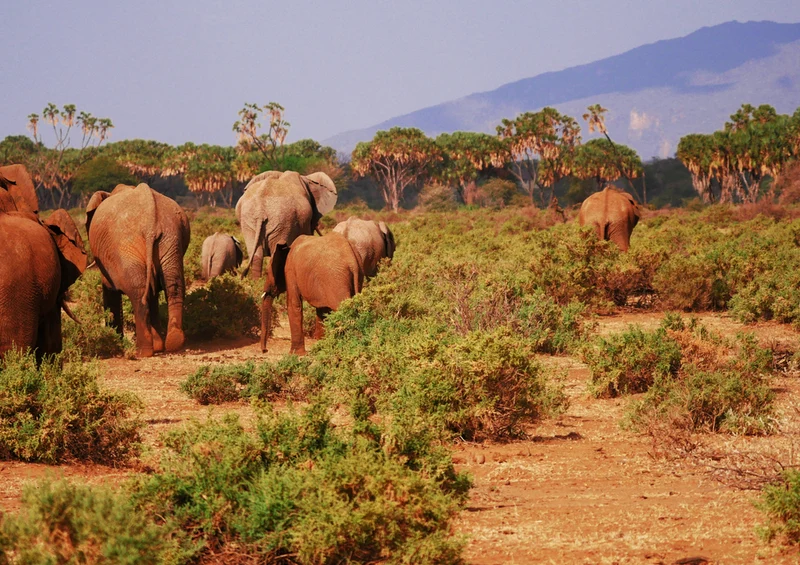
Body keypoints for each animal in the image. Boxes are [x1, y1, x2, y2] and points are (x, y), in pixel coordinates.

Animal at [86, 183, 191, 358]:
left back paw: (142, 351)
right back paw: (172, 342)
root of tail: (150, 223)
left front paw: (116, 345)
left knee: (139, 292)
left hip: (125, 244)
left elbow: (110, 292)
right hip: (171, 237)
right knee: (173, 286)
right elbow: (153, 292)